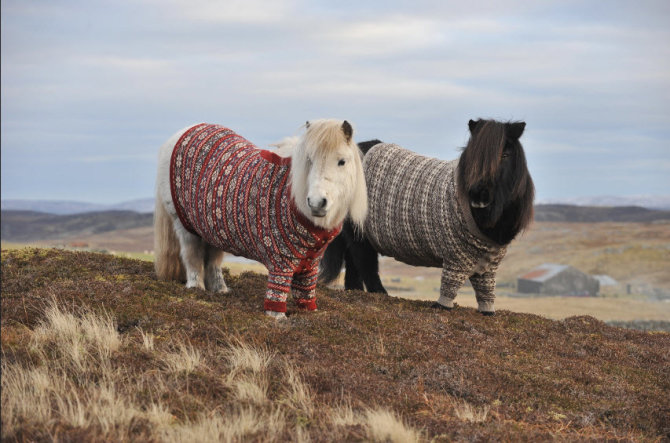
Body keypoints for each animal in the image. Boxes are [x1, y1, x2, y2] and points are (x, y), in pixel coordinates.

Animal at [154, 119, 368, 318]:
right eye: (309, 159)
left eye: (342, 161)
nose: (316, 203)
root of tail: (183, 132)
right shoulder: (281, 261)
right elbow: (278, 292)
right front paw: (278, 317)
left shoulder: (310, 263)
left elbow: (306, 292)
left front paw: (310, 313)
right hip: (184, 226)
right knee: (192, 256)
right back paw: (196, 288)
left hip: (211, 229)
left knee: (213, 260)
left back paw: (220, 290)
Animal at [322, 118, 540, 316]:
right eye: (472, 156)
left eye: (506, 154)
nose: (479, 195)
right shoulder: (455, 259)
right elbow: (449, 286)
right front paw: (442, 307)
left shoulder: (488, 265)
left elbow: (486, 290)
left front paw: (487, 311)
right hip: (360, 233)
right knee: (365, 263)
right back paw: (381, 294)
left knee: (353, 262)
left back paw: (356, 291)